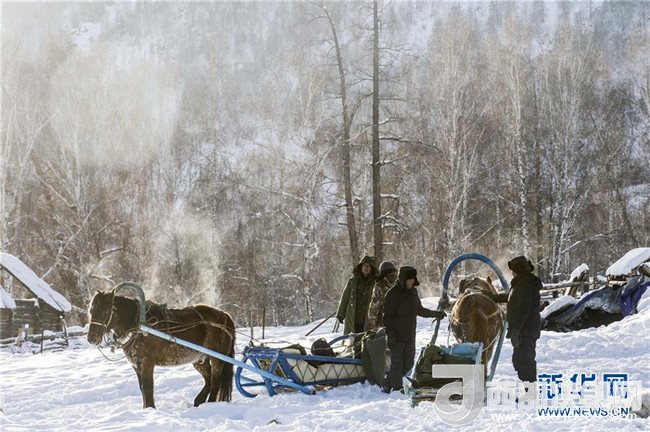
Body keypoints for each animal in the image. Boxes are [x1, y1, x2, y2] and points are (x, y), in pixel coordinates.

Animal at [87, 290, 235, 409]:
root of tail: (224, 315)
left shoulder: (147, 362)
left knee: (215, 381)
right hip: (199, 359)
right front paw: (146, 409)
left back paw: (210, 404)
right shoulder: (136, 365)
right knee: (208, 379)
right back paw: (199, 401)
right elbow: (142, 389)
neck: (140, 326)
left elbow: (148, 388)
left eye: (106, 311)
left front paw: (150, 409)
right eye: (91, 310)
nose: (91, 338)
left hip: (217, 358)